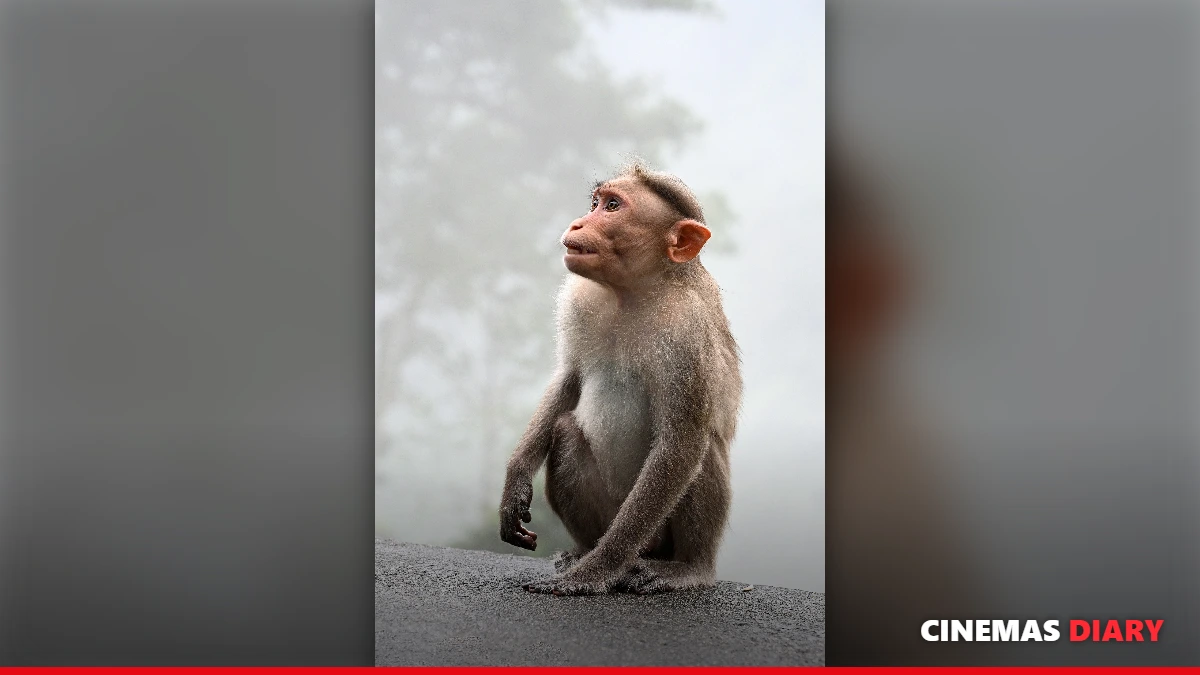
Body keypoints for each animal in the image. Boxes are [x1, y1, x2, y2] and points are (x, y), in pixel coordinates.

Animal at [497, 161, 742, 596]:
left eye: (612, 207)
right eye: (595, 203)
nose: (577, 223)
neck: (633, 292)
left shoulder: (686, 335)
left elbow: (681, 444)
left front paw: (596, 572)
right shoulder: (579, 300)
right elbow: (570, 380)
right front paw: (516, 479)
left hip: (652, 536)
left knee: (702, 451)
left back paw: (688, 567)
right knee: (565, 431)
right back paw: (580, 551)